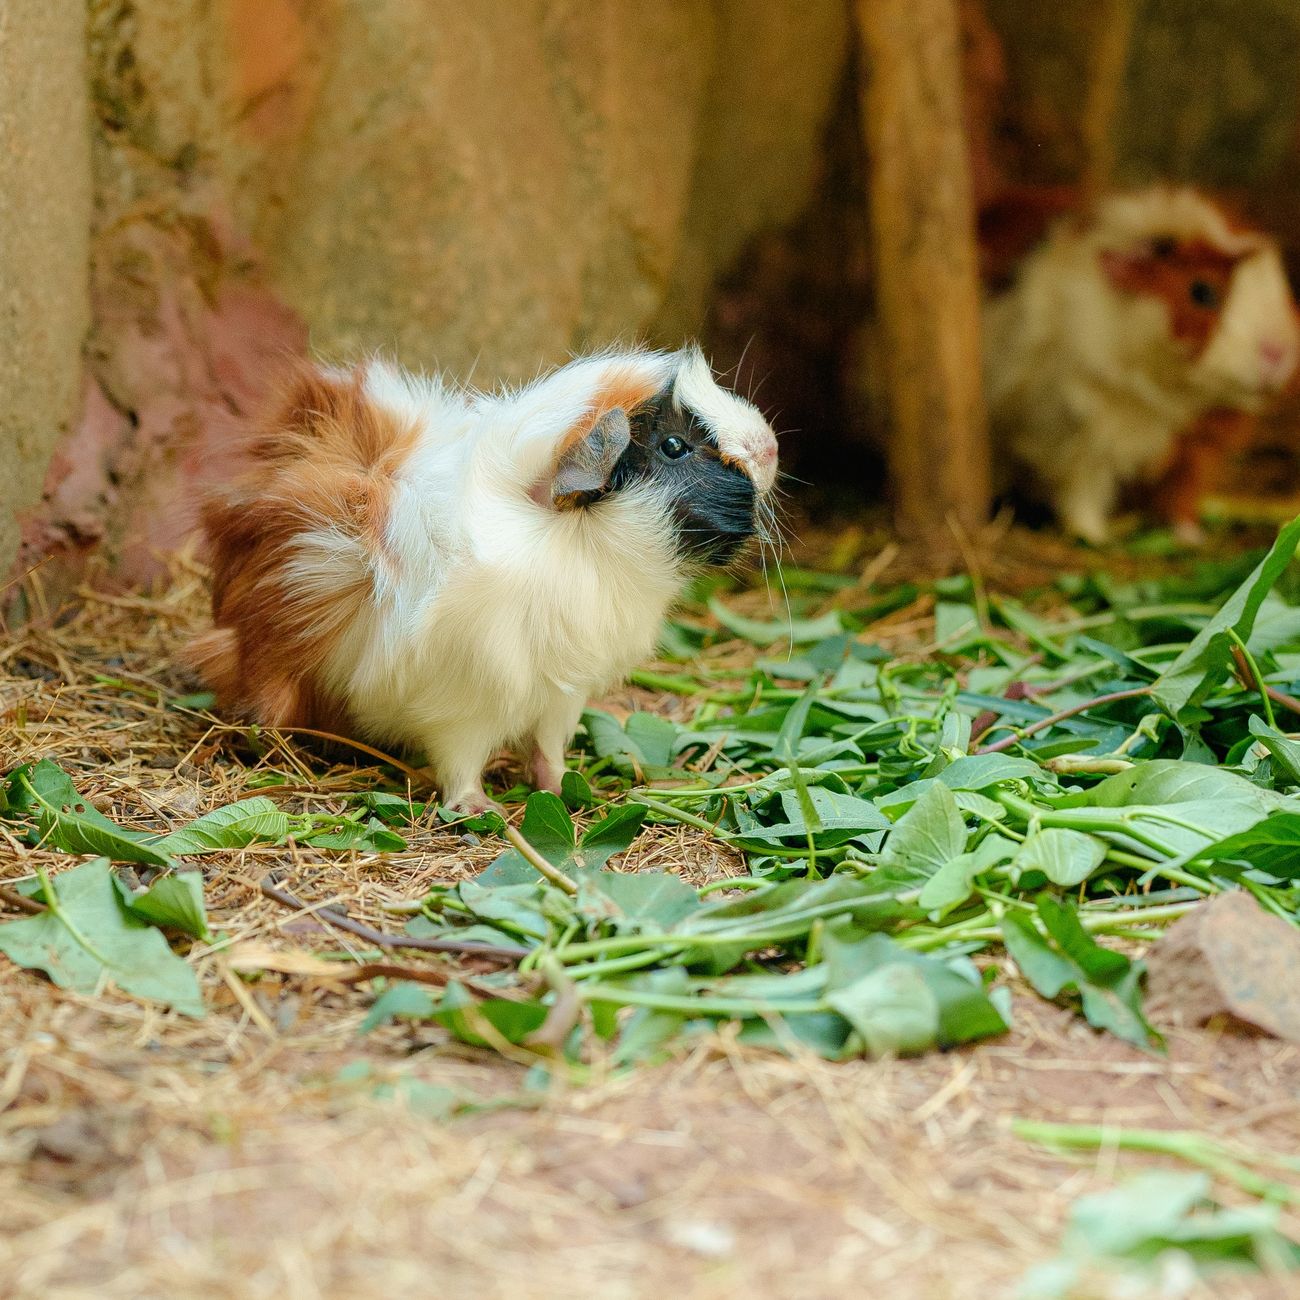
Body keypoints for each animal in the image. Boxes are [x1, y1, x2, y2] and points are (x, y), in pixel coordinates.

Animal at [187, 346, 779, 811]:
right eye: (674, 447)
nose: (769, 446)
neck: (579, 551)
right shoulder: (463, 706)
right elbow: (461, 763)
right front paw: (480, 809)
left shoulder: (561, 692)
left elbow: (548, 751)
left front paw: (568, 788)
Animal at [983, 186, 1299, 542]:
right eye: (1202, 291)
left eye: (1281, 289)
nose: (1278, 352)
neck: (1167, 393)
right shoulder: (1079, 438)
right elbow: (1083, 492)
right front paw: (1095, 536)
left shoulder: (1195, 449)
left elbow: (1179, 495)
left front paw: (1190, 536)